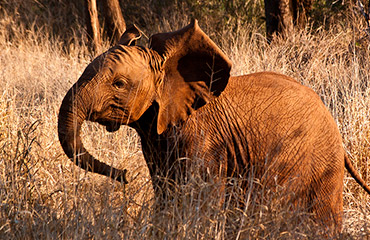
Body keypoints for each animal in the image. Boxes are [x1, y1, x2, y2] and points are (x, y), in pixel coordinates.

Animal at [58, 19, 370, 232]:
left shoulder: (203, 141)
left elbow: (199, 200)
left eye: (119, 84)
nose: (124, 176)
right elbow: (166, 191)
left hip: (322, 164)